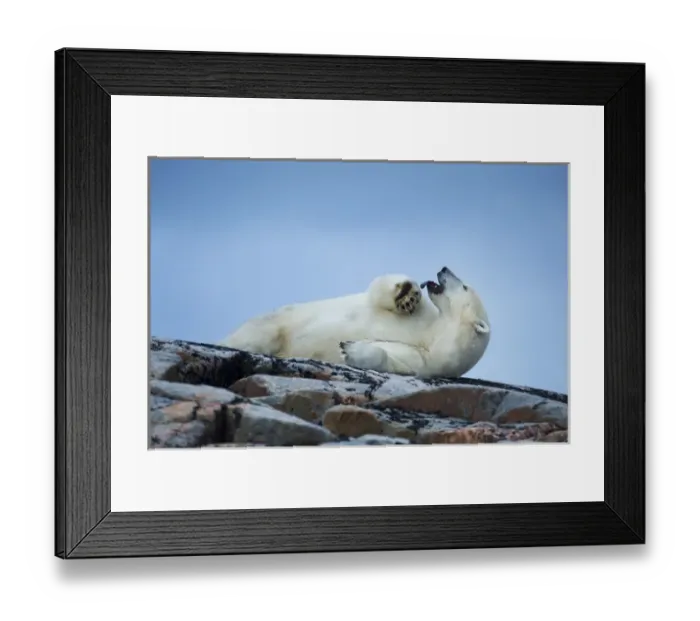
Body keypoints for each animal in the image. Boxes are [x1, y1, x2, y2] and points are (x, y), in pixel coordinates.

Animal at [219, 266, 491, 379]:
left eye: (464, 286)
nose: (444, 268)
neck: (433, 336)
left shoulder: (424, 362)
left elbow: (388, 359)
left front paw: (349, 348)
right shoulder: (425, 317)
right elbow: (379, 290)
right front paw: (407, 294)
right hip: (277, 320)